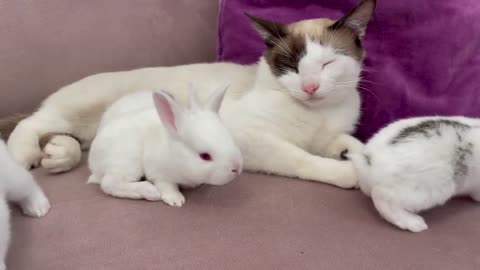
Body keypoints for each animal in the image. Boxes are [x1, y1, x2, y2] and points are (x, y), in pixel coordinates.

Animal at [5, 0, 376, 189]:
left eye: (327, 63)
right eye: (292, 65)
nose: (310, 87)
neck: (322, 112)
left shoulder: (330, 134)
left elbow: (347, 143)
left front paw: (356, 154)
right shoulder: (251, 138)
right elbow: (303, 159)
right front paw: (349, 173)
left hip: (85, 134)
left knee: (64, 140)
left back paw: (56, 155)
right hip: (79, 110)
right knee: (33, 122)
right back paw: (23, 158)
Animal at [87, 82, 242, 207]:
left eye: (231, 139)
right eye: (205, 156)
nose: (236, 168)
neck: (175, 153)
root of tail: (93, 162)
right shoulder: (159, 173)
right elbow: (167, 186)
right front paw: (176, 200)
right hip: (127, 162)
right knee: (109, 184)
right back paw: (149, 191)